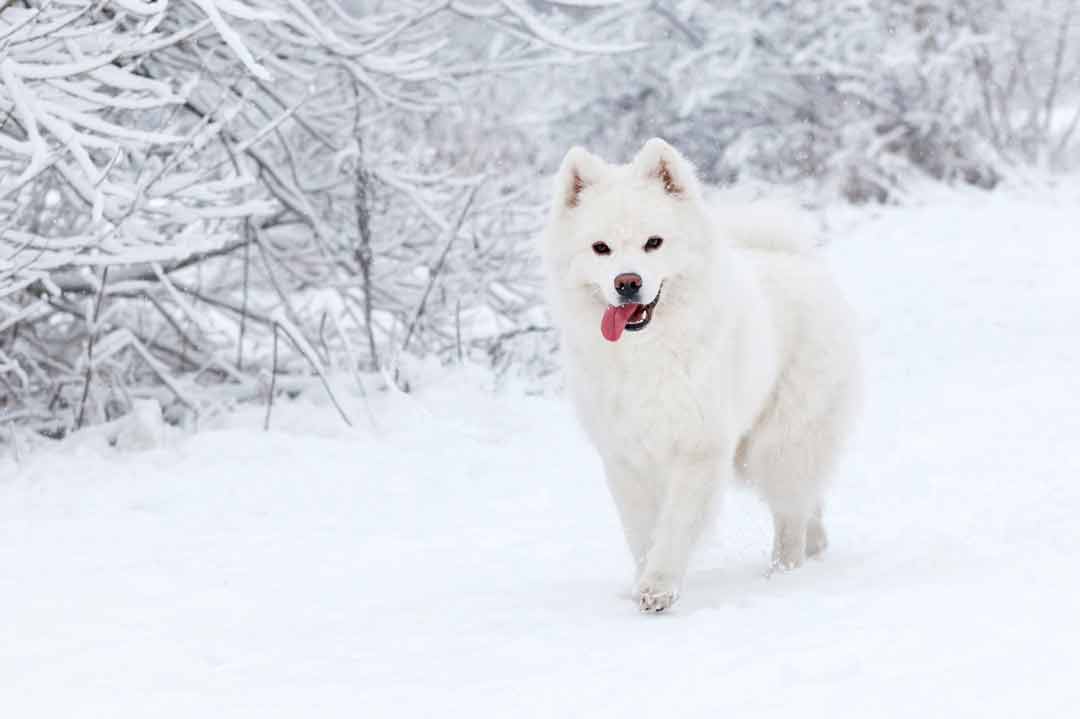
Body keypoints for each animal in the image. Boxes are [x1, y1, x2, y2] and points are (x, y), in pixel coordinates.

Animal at [540, 137, 859, 608]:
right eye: (601, 248)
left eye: (653, 242)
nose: (627, 282)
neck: (648, 354)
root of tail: (796, 259)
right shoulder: (625, 457)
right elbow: (642, 532)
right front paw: (642, 582)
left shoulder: (699, 448)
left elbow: (675, 526)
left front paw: (659, 587)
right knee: (808, 500)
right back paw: (815, 548)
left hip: (778, 443)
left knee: (790, 511)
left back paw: (784, 572)